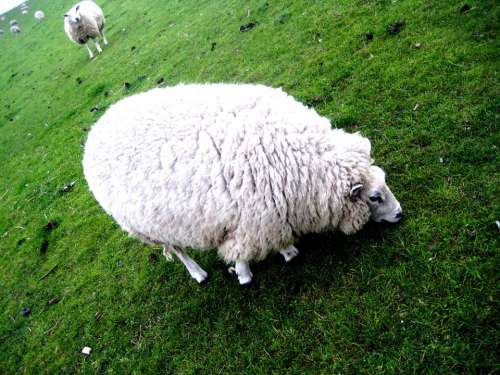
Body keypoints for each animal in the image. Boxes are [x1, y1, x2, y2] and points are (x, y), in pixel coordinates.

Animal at [82, 83, 402, 284]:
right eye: (374, 197)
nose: (400, 214)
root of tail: (98, 126)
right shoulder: (250, 219)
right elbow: (243, 253)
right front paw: (245, 274)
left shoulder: (270, 214)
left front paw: (287, 251)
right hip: (147, 228)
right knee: (178, 250)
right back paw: (198, 273)